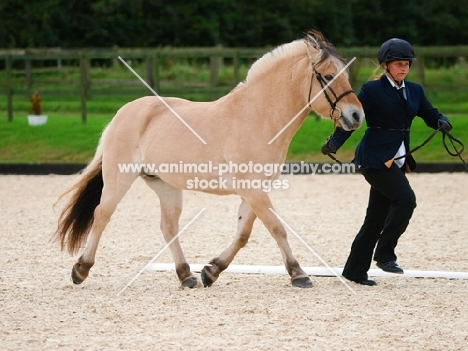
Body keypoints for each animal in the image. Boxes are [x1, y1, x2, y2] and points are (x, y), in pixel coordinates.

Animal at [55, 31, 366, 288]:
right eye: (328, 76)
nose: (356, 116)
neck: (259, 117)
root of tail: (124, 113)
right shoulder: (254, 190)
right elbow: (277, 228)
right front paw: (298, 273)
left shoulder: (255, 191)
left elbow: (243, 234)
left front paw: (211, 271)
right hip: (119, 178)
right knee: (102, 215)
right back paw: (81, 269)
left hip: (166, 186)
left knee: (168, 227)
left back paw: (186, 275)